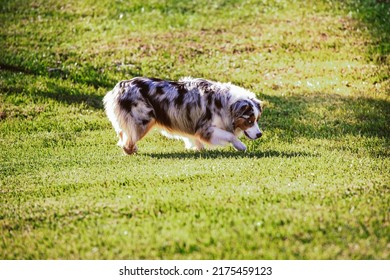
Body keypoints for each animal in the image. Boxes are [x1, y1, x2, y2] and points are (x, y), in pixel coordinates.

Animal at [102, 76, 264, 154]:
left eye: (257, 119)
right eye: (249, 120)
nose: (260, 134)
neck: (227, 103)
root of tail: (121, 86)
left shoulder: (195, 126)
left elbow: (195, 139)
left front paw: (198, 149)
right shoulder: (206, 129)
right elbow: (230, 136)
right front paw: (241, 146)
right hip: (142, 121)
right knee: (127, 142)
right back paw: (131, 150)